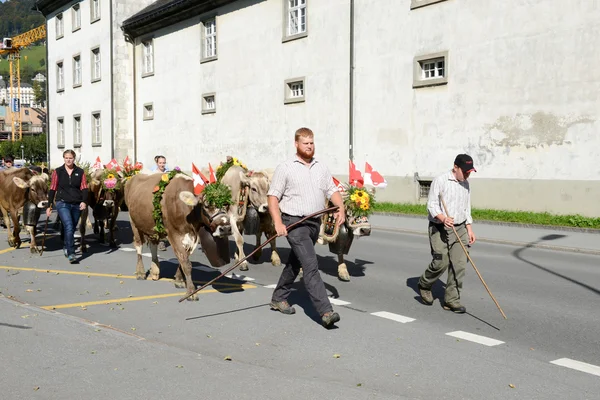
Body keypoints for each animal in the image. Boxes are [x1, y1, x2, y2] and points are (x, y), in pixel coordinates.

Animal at [124, 172, 232, 300]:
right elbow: (186, 263)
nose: (226, 228)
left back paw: (155, 270)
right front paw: (191, 292)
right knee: (138, 245)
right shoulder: (173, 234)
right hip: (133, 222)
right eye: (207, 205)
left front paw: (179, 281)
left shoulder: (192, 237)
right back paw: (140, 272)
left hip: (152, 226)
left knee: (153, 244)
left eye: (227, 204)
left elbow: (184, 259)